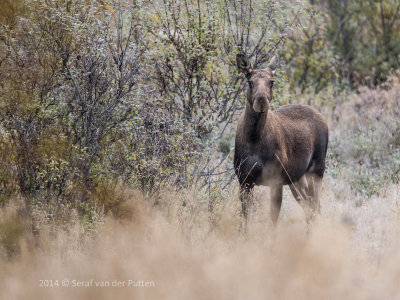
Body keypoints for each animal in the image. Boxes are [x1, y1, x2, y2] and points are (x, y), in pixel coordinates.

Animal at [234, 53, 328, 225]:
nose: (261, 101)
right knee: (309, 207)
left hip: (317, 170)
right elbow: (245, 219)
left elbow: (273, 219)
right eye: (250, 82)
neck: (254, 138)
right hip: (296, 178)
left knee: (315, 207)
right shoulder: (244, 180)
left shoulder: (276, 180)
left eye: (272, 82)